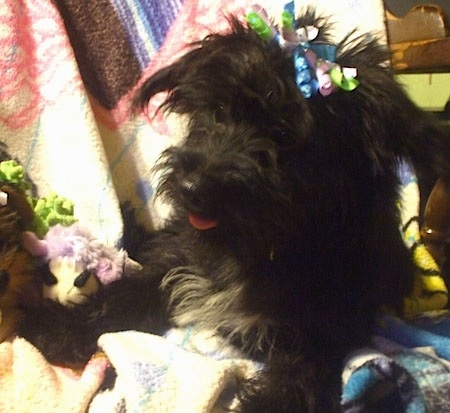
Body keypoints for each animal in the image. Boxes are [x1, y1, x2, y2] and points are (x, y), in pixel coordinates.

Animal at [20, 13, 450, 412]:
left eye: (283, 135)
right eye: (219, 109)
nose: (191, 190)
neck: (261, 247)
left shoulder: (322, 329)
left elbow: (297, 381)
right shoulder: (179, 262)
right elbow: (125, 295)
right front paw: (57, 327)